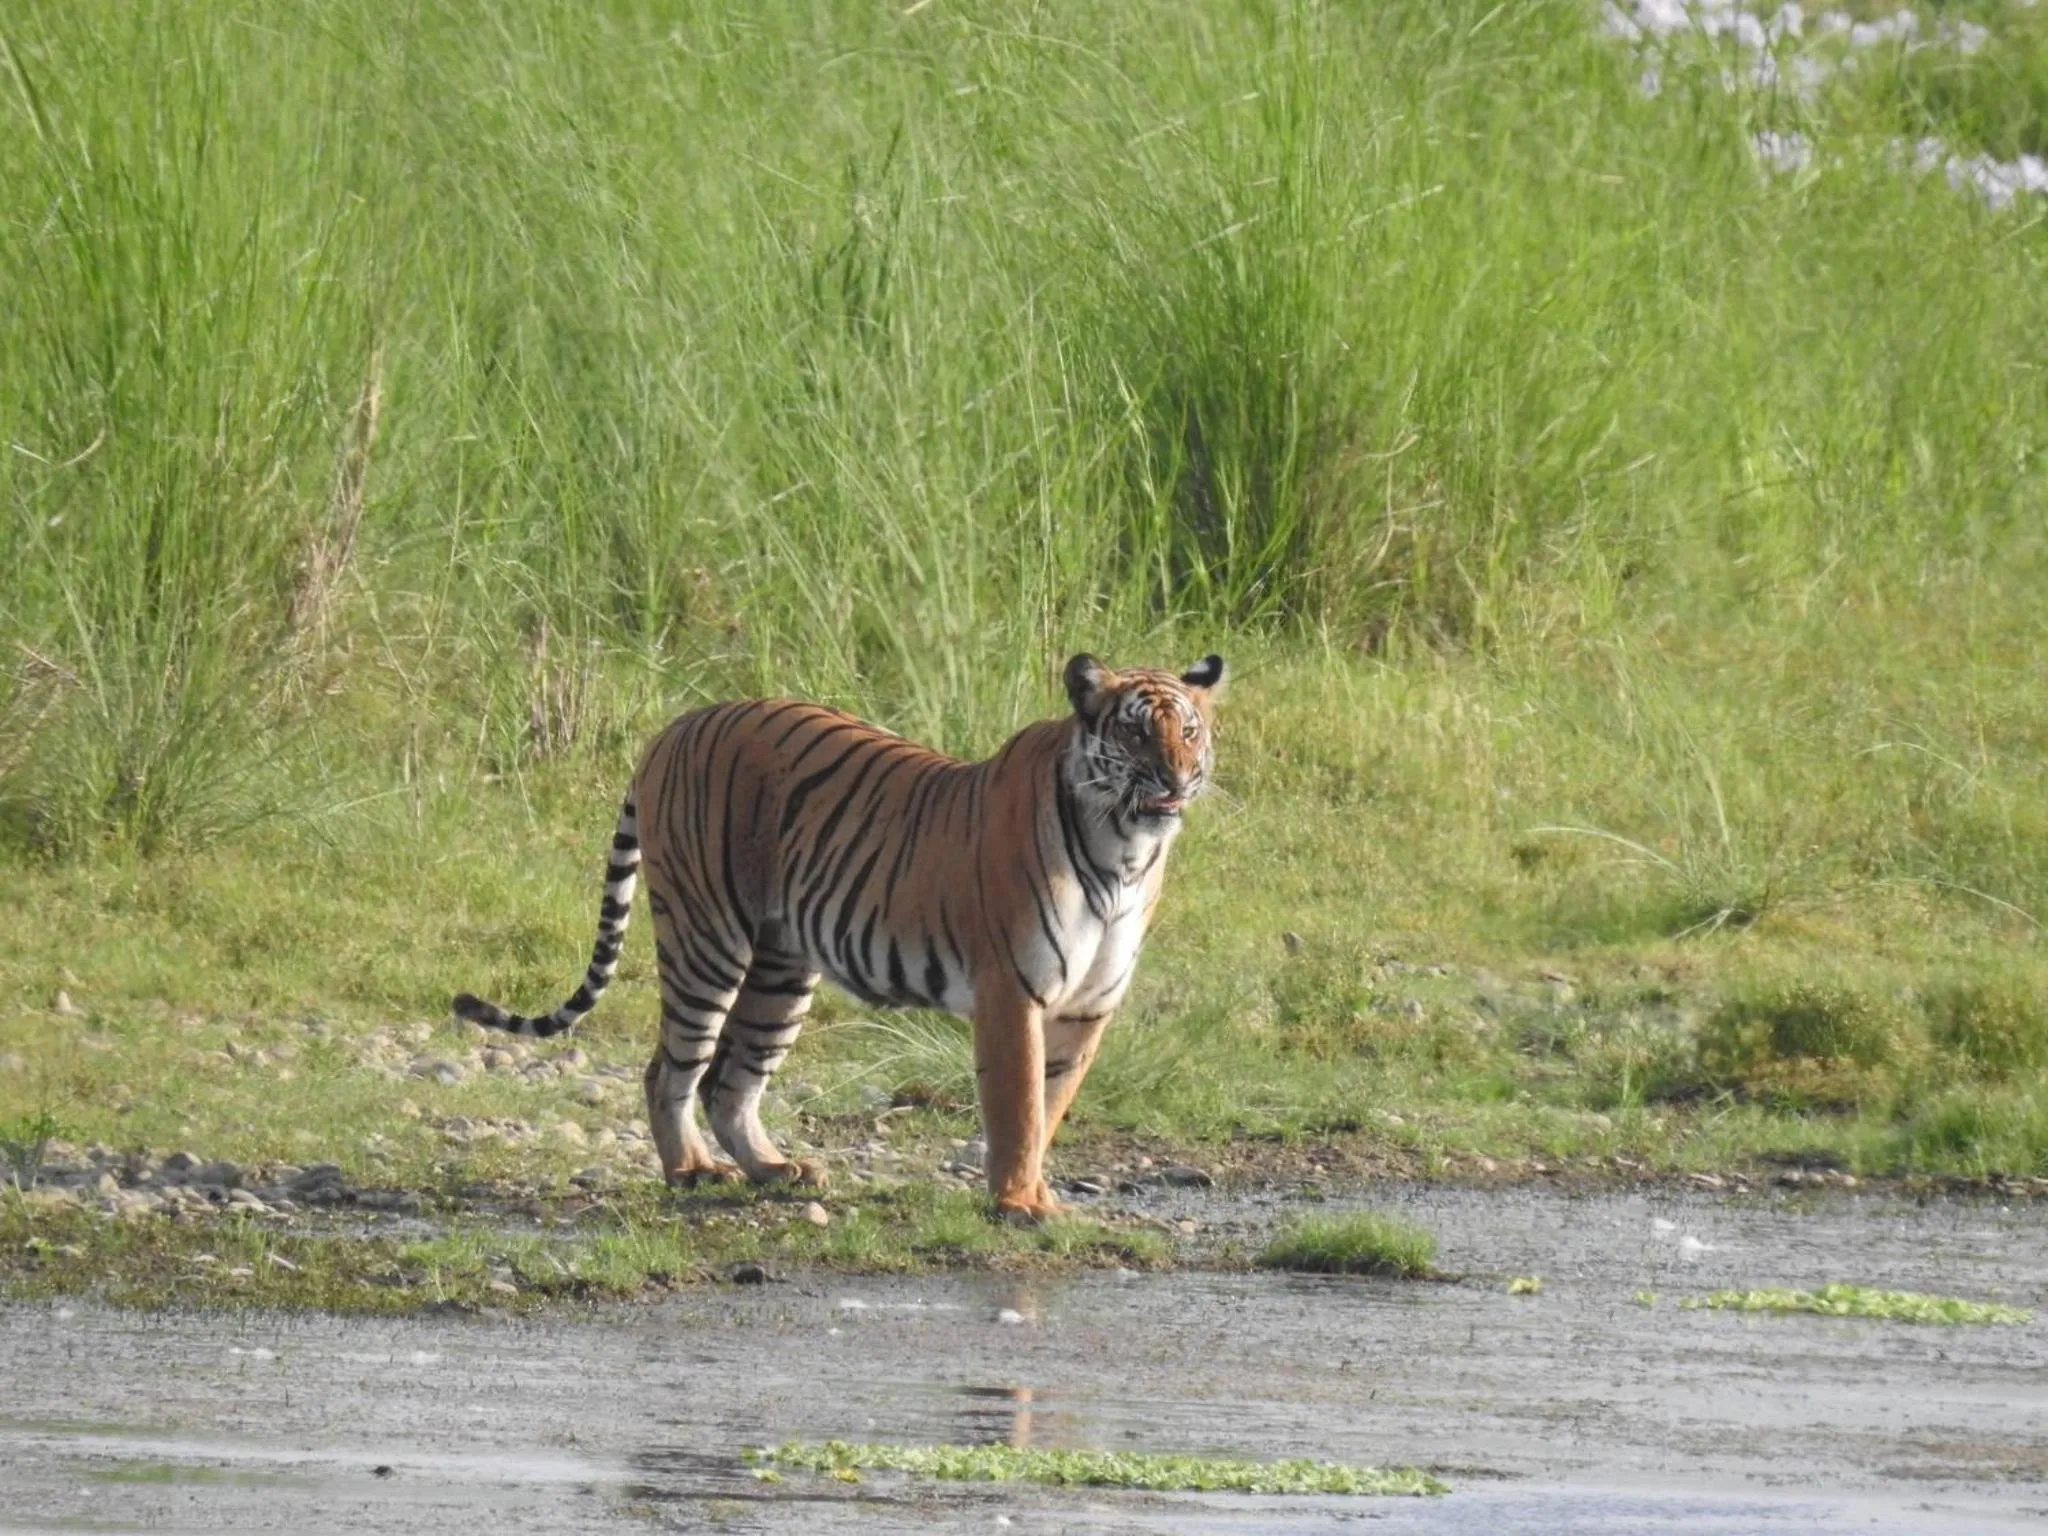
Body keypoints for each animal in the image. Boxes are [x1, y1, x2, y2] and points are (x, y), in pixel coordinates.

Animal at [452, 652, 1224, 1225]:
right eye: (1135, 733)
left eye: (1189, 732)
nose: (1178, 777)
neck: (1125, 852)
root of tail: (675, 725)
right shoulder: (1013, 991)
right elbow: (1020, 1106)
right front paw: (1016, 1204)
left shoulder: (1088, 1006)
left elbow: (1051, 1103)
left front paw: (1035, 1198)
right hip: (706, 937)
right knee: (671, 1069)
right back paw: (693, 1171)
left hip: (781, 968)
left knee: (729, 1081)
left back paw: (773, 1168)